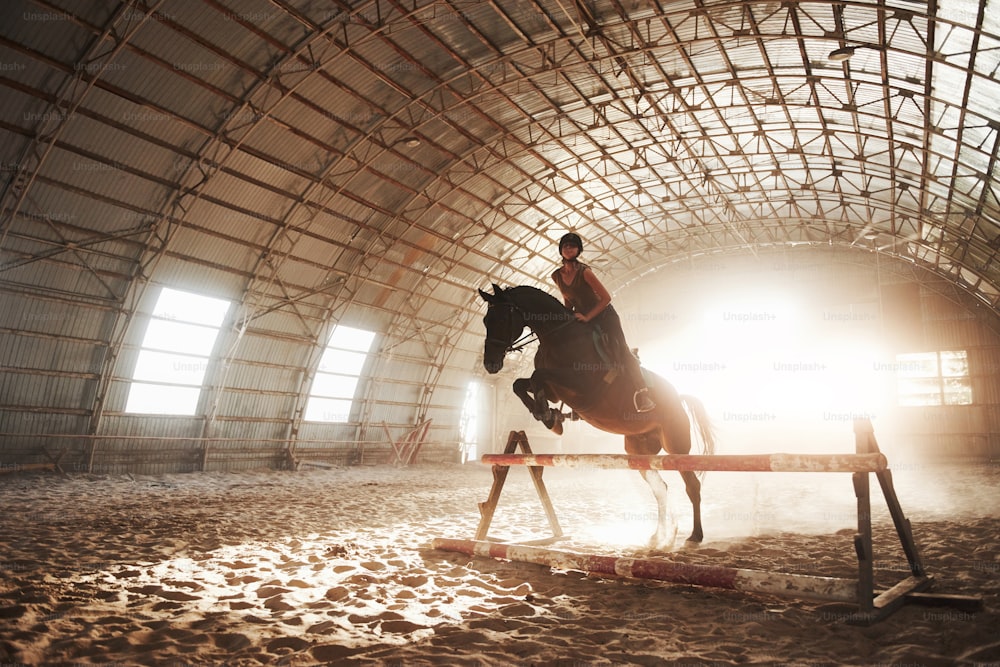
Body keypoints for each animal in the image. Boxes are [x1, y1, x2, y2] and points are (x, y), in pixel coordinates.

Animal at [474, 282, 716, 548]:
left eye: (503, 318)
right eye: (485, 319)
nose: (490, 364)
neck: (557, 337)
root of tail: (678, 397)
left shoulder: (582, 386)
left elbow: (538, 377)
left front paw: (548, 417)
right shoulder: (556, 390)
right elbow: (521, 383)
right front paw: (549, 416)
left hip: (676, 447)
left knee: (692, 485)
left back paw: (694, 536)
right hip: (638, 452)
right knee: (660, 488)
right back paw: (659, 536)